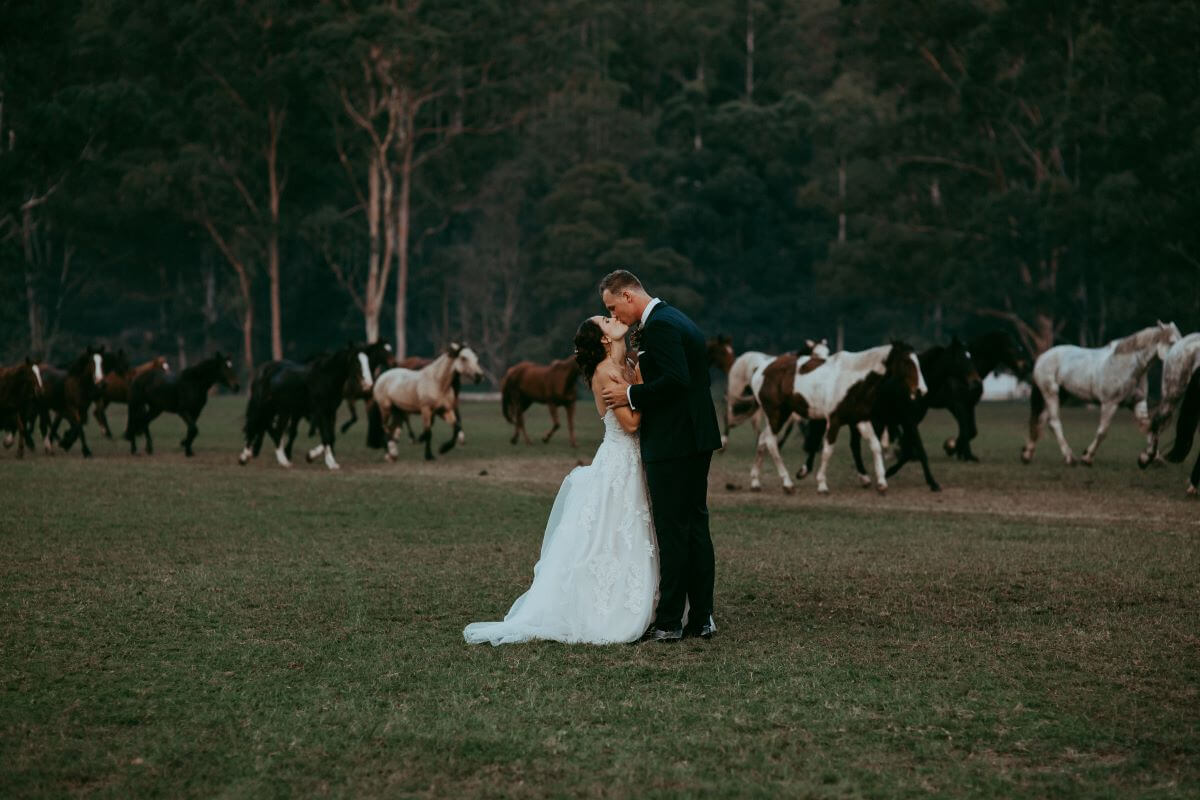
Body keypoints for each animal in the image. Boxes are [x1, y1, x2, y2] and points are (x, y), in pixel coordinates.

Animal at [240, 343, 374, 470]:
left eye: (368, 361)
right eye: (356, 361)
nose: (368, 384)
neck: (325, 378)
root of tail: (263, 369)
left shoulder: (331, 411)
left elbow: (330, 436)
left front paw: (312, 456)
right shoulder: (319, 411)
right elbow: (326, 436)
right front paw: (330, 463)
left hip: (282, 410)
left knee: (274, 430)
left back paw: (283, 461)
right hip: (263, 407)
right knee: (254, 425)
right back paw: (244, 457)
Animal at [748, 343, 926, 494]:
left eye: (918, 362)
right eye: (907, 362)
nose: (922, 391)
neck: (854, 379)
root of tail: (760, 369)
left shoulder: (861, 420)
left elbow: (875, 446)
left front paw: (881, 483)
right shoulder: (834, 421)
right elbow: (828, 450)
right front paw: (822, 484)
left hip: (778, 415)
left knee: (763, 439)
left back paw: (755, 482)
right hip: (777, 414)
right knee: (771, 442)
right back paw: (787, 484)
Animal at [1022, 321, 1180, 465]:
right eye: (1172, 342)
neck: (1128, 366)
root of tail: (1042, 357)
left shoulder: (1138, 402)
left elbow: (1149, 427)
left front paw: (1150, 458)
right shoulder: (1110, 404)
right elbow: (1102, 431)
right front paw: (1087, 457)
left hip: (1062, 396)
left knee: (1042, 420)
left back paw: (1028, 454)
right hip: (1051, 394)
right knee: (1054, 423)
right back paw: (1070, 458)